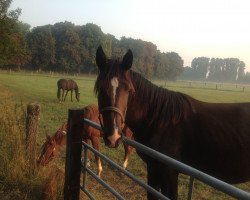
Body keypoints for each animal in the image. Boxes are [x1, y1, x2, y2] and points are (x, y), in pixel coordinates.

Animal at [94, 45, 250, 200]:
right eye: (100, 88)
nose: (113, 136)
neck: (160, 121)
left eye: (128, 90)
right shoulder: (153, 167)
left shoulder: (169, 172)